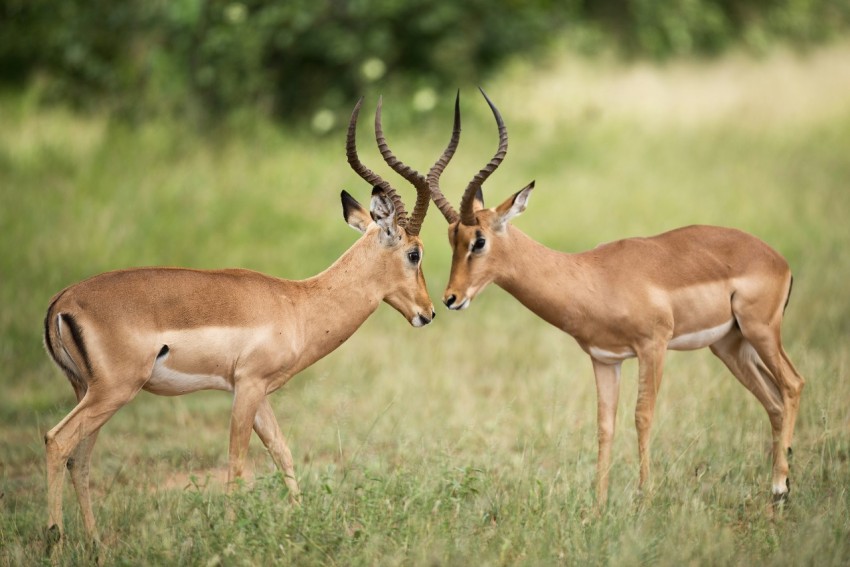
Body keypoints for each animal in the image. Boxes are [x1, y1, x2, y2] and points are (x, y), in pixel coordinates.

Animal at [41, 96, 452, 546]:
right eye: (414, 253)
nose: (428, 312)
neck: (297, 304)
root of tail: (62, 302)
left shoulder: (258, 392)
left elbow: (283, 453)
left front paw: (298, 523)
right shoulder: (248, 386)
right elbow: (237, 465)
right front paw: (231, 534)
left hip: (89, 391)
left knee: (79, 459)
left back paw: (95, 544)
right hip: (113, 391)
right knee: (57, 441)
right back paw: (55, 543)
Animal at [427, 89, 806, 508]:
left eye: (479, 241)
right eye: (451, 238)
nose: (450, 298)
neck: (593, 277)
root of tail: (777, 259)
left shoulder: (652, 346)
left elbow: (642, 415)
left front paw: (645, 497)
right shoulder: (605, 359)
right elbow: (604, 425)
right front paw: (597, 506)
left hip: (760, 330)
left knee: (793, 384)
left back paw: (780, 486)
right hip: (729, 345)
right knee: (773, 399)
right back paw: (778, 486)